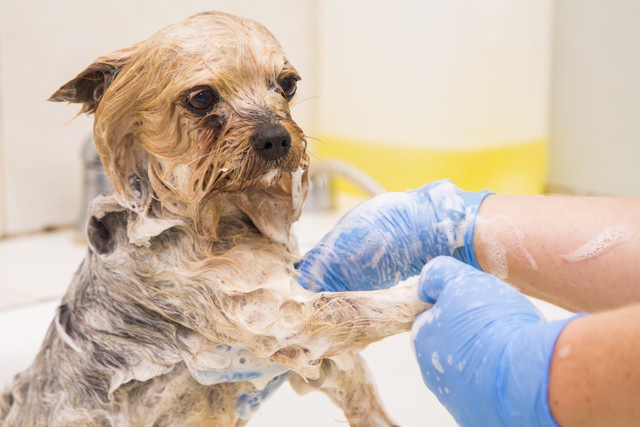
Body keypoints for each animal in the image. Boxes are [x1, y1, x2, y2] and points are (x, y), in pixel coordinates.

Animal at [1, 11, 430, 426]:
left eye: (288, 84)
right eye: (201, 97)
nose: (276, 138)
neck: (221, 218)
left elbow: (352, 383)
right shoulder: (276, 317)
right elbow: (356, 309)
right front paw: (433, 289)